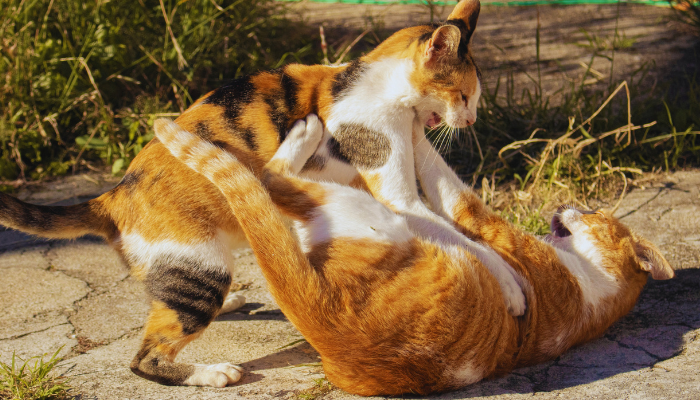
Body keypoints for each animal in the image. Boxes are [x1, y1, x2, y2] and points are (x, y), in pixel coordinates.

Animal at [0, 0, 532, 388]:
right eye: (465, 95)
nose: (471, 120)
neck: (368, 81)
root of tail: (111, 196)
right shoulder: (397, 195)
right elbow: (466, 242)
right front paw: (510, 286)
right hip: (202, 270)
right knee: (145, 358)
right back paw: (212, 373)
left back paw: (234, 301)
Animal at [156, 116, 676, 396]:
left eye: (593, 211)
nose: (568, 205)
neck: (594, 290)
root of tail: (324, 319)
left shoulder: (478, 217)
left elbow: (445, 176)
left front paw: (413, 121)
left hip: (361, 208)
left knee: (270, 177)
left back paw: (304, 135)